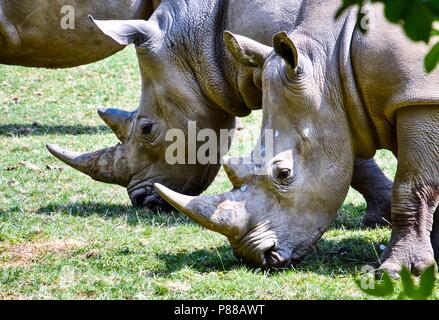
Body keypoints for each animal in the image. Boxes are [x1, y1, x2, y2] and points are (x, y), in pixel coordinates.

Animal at [156, 0, 439, 276]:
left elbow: (413, 187)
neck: (331, 65)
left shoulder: (418, 98)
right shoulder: (408, 97)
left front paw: (395, 270)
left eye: (284, 174)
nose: (256, 257)